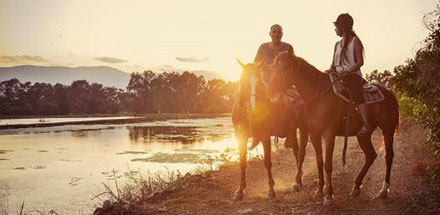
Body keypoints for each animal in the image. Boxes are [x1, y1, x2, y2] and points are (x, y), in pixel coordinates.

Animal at [232, 60, 308, 202]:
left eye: (259, 83)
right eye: (243, 82)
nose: (253, 108)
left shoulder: (265, 136)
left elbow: (267, 162)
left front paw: (271, 189)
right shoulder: (241, 137)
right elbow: (242, 162)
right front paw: (239, 190)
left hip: (301, 129)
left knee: (299, 153)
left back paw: (297, 182)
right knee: (296, 151)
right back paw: (298, 181)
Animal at [266, 51, 400, 206]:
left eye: (286, 68)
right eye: (273, 66)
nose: (270, 90)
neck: (318, 96)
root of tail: (389, 92)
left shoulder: (329, 133)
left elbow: (328, 163)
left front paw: (329, 195)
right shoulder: (314, 133)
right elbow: (319, 161)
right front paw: (319, 191)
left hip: (387, 129)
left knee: (388, 156)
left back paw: (383, 190)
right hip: (363, 135)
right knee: (371, 155)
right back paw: (356, 186)